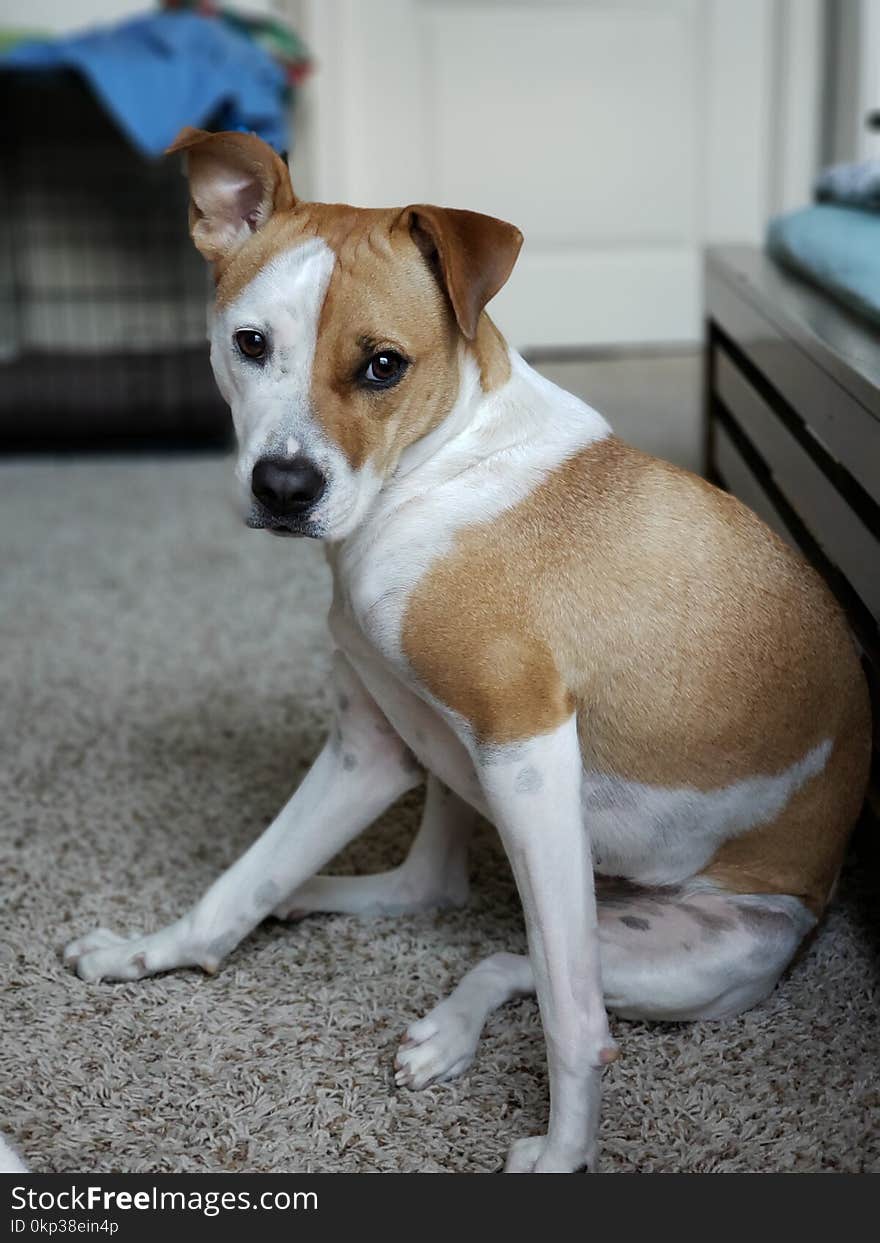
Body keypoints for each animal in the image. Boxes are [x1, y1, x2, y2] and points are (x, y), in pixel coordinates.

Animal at [63, 131, 875, 1168]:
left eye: (383, 365)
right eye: (251, 344)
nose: (283, 487)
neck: (436, 474)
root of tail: (819, 891)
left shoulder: (528, 752)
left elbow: (574, 1021)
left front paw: (566, 1154)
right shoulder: (368, 750)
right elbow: (240, 883)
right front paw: (151, 953)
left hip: (682, 948)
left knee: (533, 965)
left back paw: (451, 1028)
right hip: (494, 809)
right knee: (447, 902)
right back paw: (387, 964)